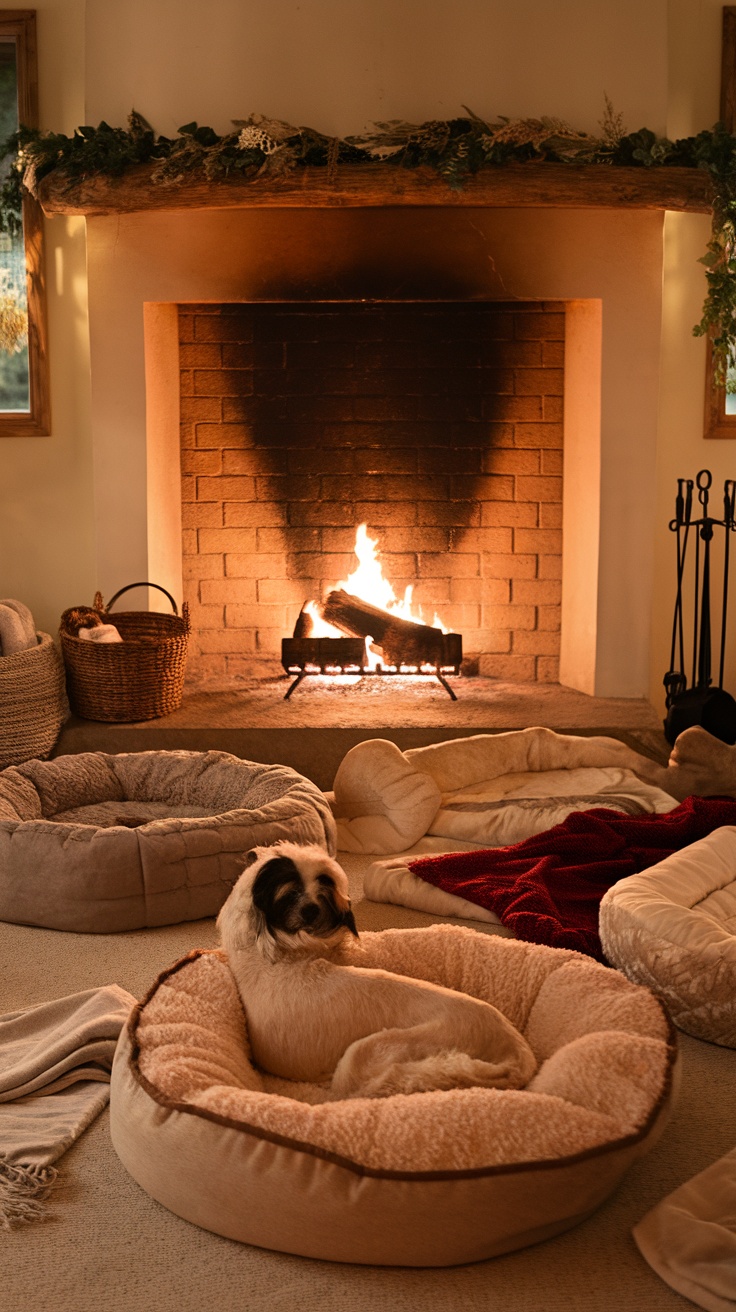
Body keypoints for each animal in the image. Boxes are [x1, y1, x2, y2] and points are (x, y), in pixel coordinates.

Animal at [215, 839, 537, 1096]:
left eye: (323, 889)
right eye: (290, 894)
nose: (312, 911)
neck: (275, 953)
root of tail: (518, 1050)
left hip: (362, 1056)